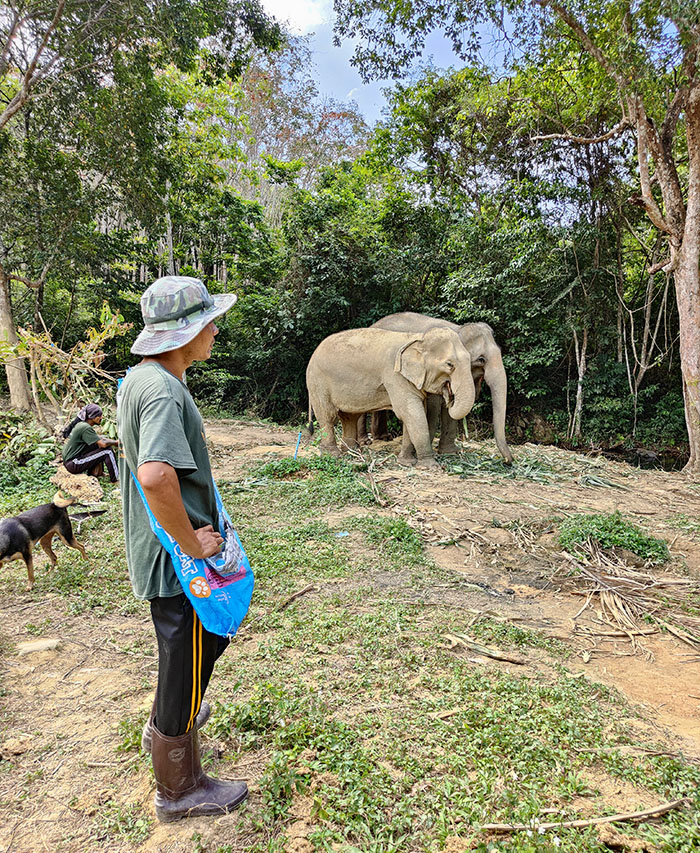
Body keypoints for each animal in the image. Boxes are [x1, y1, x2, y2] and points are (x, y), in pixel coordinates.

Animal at [306, 327, 476, 469]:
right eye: (449, 364)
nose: (449, 396)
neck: (418, 338)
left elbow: (412, 415)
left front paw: (406, 462)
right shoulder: (395, 376)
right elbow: (411, 413)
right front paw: (430, 466)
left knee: (349, 417)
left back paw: (351, 450)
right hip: (317, 383)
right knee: (328, 416)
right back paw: (332, 454)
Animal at [359, 312, 513, 464]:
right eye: (481, 359)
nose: (507, 461)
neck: (458, 329)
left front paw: (450, 452)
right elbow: (432, 406)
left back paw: (383, 438)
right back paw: (365, 441)